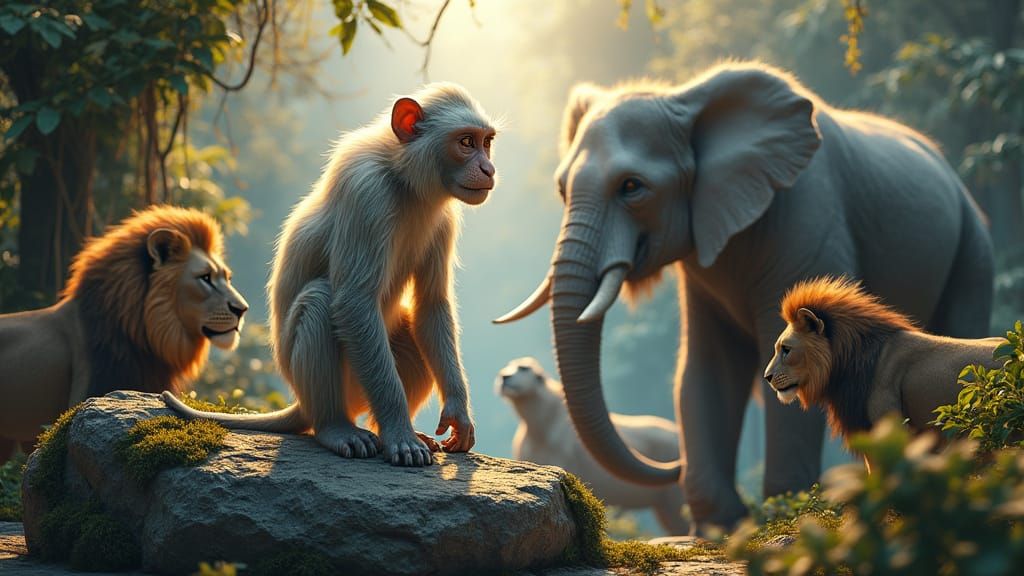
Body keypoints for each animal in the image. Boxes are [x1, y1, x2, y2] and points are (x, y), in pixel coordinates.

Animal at [164, 83, 495, 467]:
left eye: (487, 142)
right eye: (466, 142)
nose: (489, 169)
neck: (404, 180)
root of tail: (301, 402)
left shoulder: (444, 218)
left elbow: (430, 303)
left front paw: (458, 416)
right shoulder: (366, 193)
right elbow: (354, 302)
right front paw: (400, 435)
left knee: (412, 330)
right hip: (339, 384)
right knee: (320, 299)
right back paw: (338, 429)